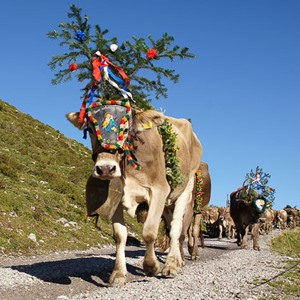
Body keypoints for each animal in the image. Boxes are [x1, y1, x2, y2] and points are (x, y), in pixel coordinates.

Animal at [67, 106, 203, 286]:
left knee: (176, 228)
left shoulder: (160, 189)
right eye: (90, 129)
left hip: (185, 188)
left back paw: (172, 264)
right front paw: (118, 274)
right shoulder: (116, 197)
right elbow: (120, 236)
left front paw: (151, 266)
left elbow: (149, 232)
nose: (105, 168)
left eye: (126, 129)